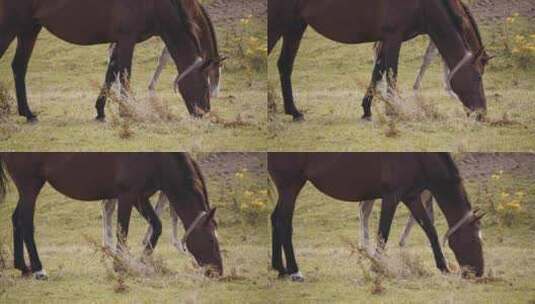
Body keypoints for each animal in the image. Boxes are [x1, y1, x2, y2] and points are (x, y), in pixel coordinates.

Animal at [0, 0, 218, 122]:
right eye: (205, 86)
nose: (204, 113)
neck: (154, 4)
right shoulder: (127, 39)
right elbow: (124, 75)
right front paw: (128, 111)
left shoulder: (119, 42)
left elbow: (110, 74)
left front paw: (100, 110)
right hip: (11, 27)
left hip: (29, 29)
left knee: (19, 67)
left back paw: (27, 113)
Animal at [0, 153, 223, 280]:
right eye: (211, 240)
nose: (218, 272)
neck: (157, 158)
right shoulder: (126, 196)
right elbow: (122, 231)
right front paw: (121, 266)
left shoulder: (140, 197)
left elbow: (157, 226)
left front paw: (142, 261)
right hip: (30, 186)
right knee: (26, 223)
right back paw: (38, 269)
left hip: (27, 190)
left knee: (16, 219)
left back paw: (23, 267)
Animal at [270, 153, 488, 282]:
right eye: (474, 240)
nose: (478, 273)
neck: (418, 157)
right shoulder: (391, 197)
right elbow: (383, 233)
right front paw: (378, 267)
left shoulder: (411, 197)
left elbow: (430, 230)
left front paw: (443, 266)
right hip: (290, 187)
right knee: (284, 223)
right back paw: (294, 271)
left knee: (275, 219)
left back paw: (280, 269)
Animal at [272, 0, 490, 121]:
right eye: (478, 77)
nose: (482, 114)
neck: (423, 4)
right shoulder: (394, 37)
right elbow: (391, 73)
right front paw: (393, 111)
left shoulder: (385, 40)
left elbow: (377, 72)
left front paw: (367, 109)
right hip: (280, 23)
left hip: (295, 26)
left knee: (284, 64)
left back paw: (293, 112)